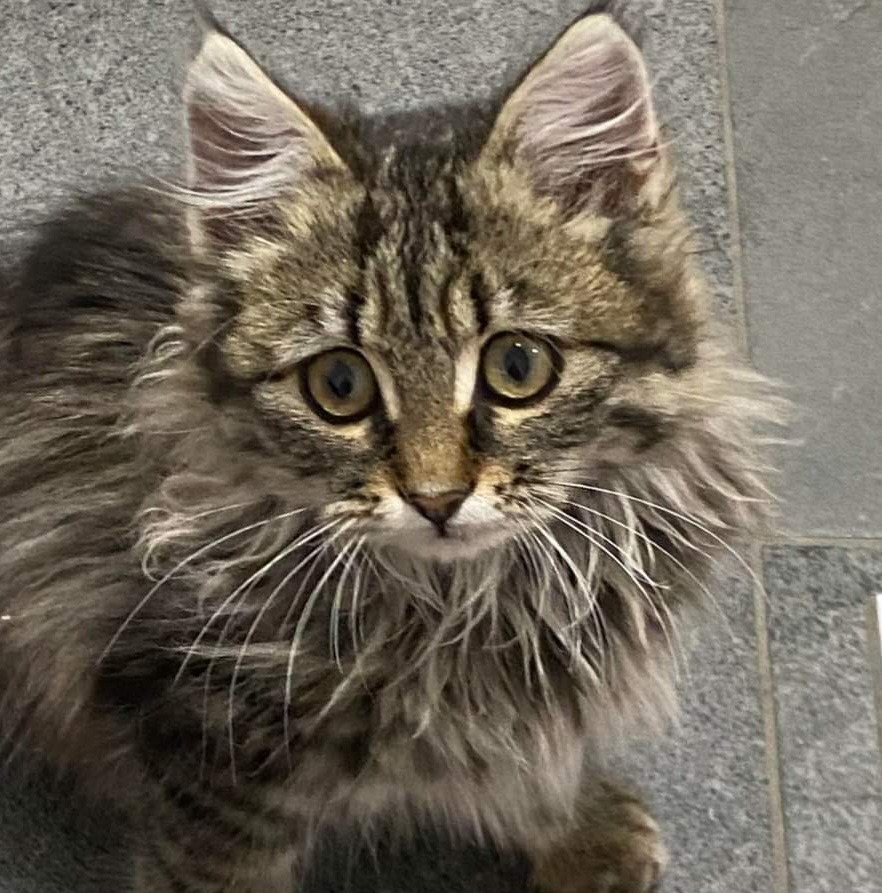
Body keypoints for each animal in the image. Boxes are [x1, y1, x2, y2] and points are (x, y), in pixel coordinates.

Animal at [0, 5, 777, 892]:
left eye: (518, 367)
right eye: (339, 384)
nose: (437, 498)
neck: (465, 605)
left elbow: (528, 771)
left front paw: (581, 833)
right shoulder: (208, 754)